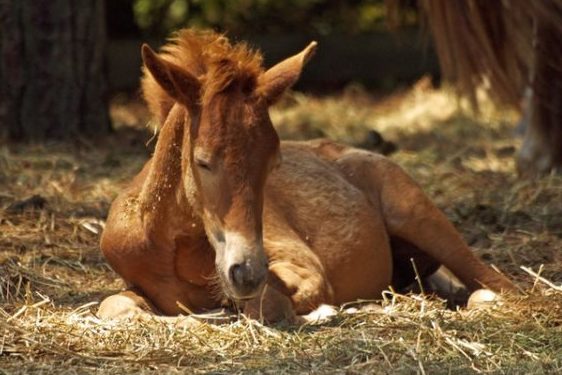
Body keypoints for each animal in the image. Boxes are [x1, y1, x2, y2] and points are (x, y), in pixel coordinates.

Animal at [97, 28, 512, 324]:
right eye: (202, 161)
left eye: (273, 162)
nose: (247, 273)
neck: (171, 246)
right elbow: (115, 307)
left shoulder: (303, 268)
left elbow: (269, 305)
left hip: (418, 216)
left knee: (496, 283)